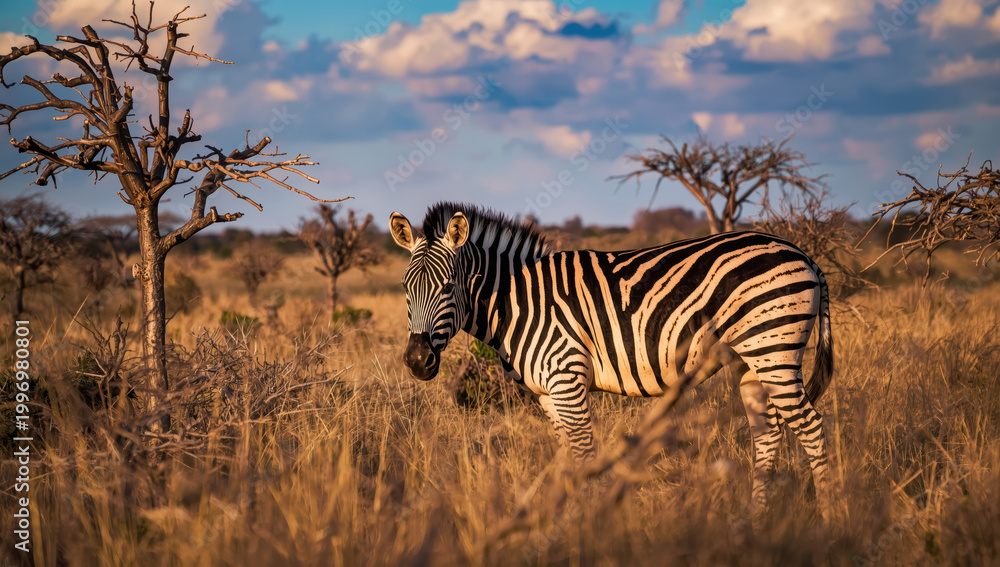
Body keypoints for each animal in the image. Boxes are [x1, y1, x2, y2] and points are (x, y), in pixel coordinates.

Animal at [390, 202, 834, 516]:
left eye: (448, 287)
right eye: (405, 288)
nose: (417, 360)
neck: (517, 301)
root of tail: (803, 254)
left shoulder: (567, 378)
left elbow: (585, 454)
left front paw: (592, 527)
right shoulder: (547, 393)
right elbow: (568, 459)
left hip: (773, 349)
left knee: (811, 427)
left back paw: (833, 517)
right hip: (751, 361)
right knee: (768, 432)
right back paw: (754, 520)